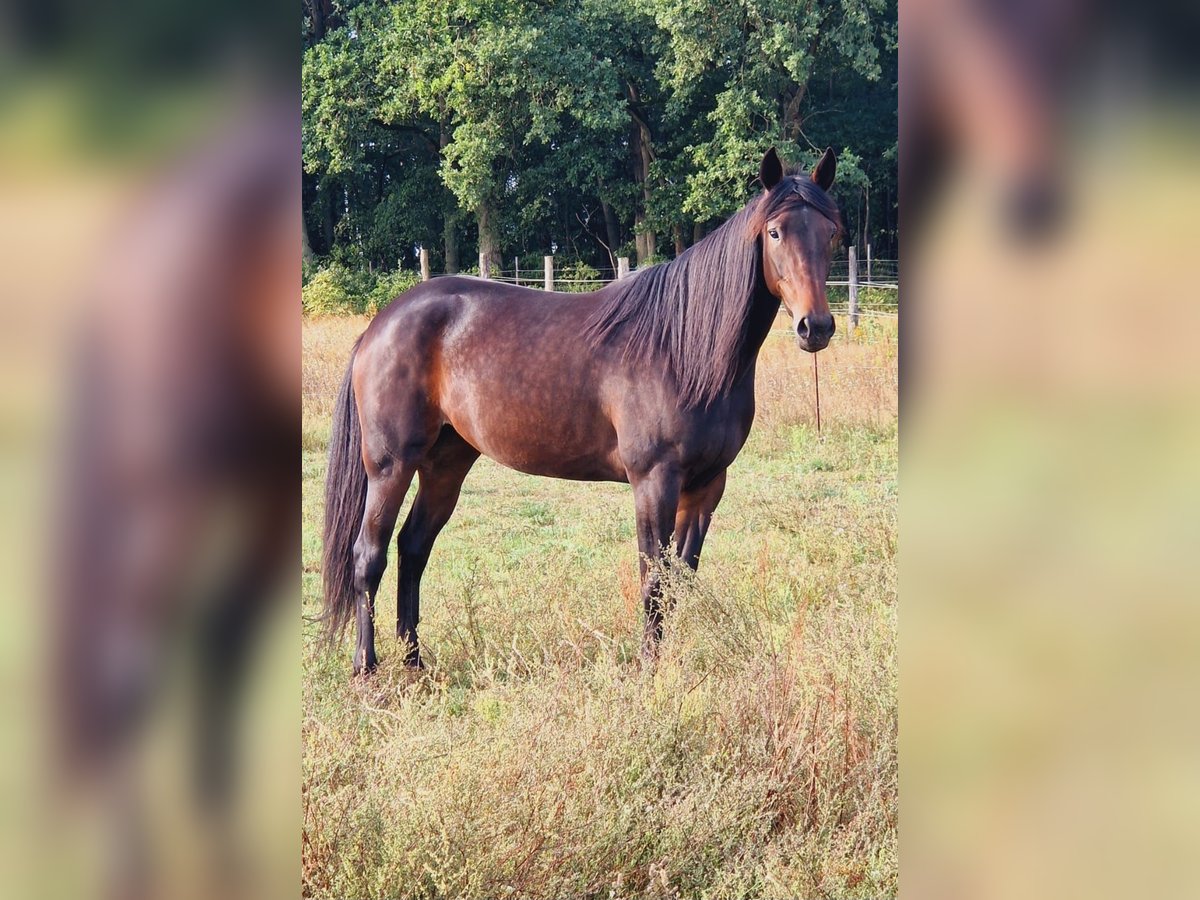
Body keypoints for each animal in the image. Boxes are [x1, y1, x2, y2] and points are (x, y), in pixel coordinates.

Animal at [324, 148, 840, 672]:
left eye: (831, 231)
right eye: (775, 232)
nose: (814, 326)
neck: (682, 347)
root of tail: (382, 323)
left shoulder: (707, 486)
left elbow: (680, 580)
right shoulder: (654, 481)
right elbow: (653, 581)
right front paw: (649, 670)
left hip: (446, 463)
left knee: (413, 548)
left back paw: (415, 662)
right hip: (391, 464)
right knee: (369, 555)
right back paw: (366, 667)